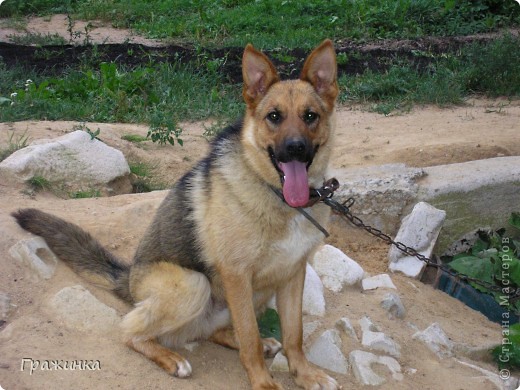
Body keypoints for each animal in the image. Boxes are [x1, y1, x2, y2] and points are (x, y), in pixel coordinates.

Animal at [12, 39, 340, 390]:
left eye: (310, 116)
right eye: (274, 116)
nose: (295, 148)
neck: (278, 196)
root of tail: (129, 279)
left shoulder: (293, 273)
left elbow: (294, 335)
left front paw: (305, 374)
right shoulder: (237, 275)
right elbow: (249, 337)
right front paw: (263, 383)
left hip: (256, 292)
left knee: (218, 332)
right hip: (193, 284)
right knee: (130, 332)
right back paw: (171, 358)